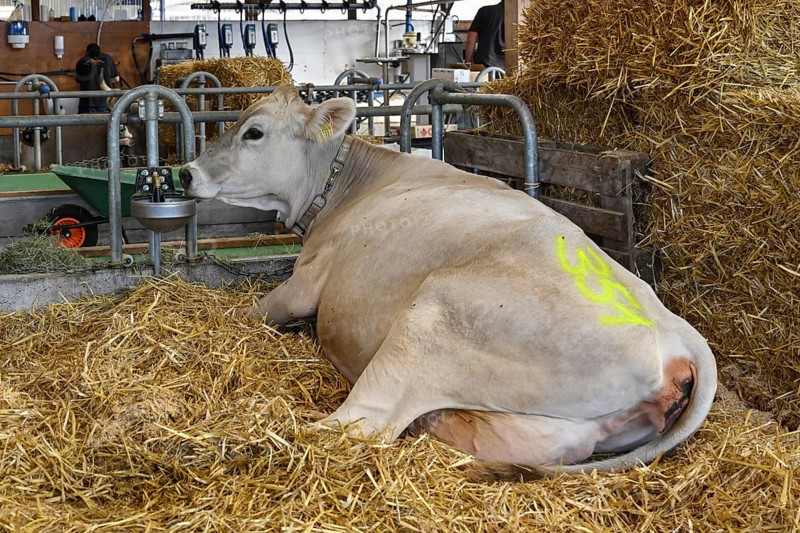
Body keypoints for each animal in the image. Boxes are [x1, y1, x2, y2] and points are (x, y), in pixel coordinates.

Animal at [179, 85, 717, 476]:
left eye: (253, 132)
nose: (185, 173)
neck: (345, 188)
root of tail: (677, 332)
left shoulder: (306, 281)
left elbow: (253, 310)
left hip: (431, 321)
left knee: (359, 425)